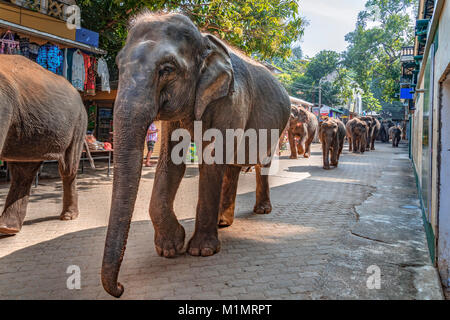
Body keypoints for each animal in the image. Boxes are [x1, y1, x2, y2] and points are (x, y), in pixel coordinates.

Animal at [101, 12, 292, 298]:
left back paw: (261, 210)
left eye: (166, 69)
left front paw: (201, 251)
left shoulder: (232, 99)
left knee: (261, 164)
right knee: (232, 166)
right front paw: (170, 247)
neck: (204, 39)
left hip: (279, 126)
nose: (121, 288)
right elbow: (172, 161)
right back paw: (223, 222)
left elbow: (212, 160)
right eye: (118, 64)